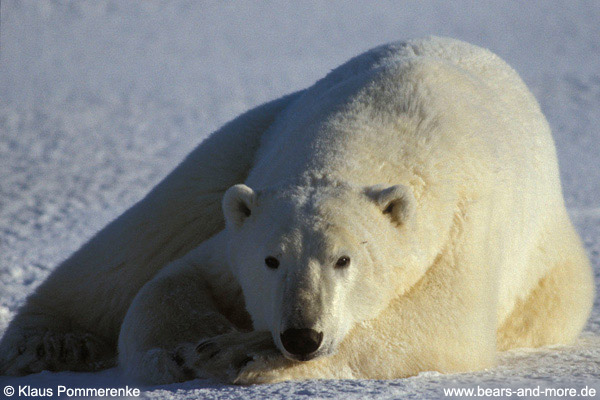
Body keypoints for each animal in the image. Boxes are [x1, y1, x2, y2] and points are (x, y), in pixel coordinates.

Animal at [0, 37, 592, 384]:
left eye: (345, 260)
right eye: (271, 260)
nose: (302, 336)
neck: (370, 132)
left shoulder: (460, 225)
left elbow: (442, 328)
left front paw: (242, 353)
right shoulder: (246, 219)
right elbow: (173, 277)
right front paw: (188, 349)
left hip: (554, 280)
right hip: (250, 131)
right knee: (150, 229)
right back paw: (55, 343)